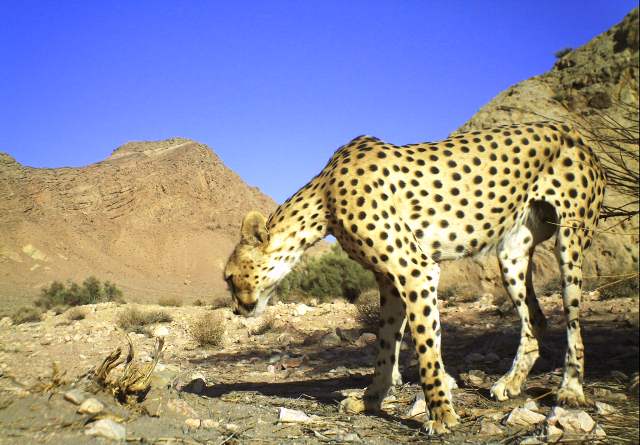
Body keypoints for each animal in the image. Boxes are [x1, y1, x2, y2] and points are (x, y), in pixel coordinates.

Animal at [224, 121, 606, 434]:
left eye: (228, 278)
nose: (237, 310)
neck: (323, 199)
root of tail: (574, 133)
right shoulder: (389, 282)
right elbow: (385, 344)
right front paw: (371, 398)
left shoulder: (416, 270)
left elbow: (425, 348)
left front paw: (441, 415)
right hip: (512, 252)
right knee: (535, 319)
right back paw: (510, 383)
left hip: (569, 242)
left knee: (573, 323)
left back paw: (570, 391)